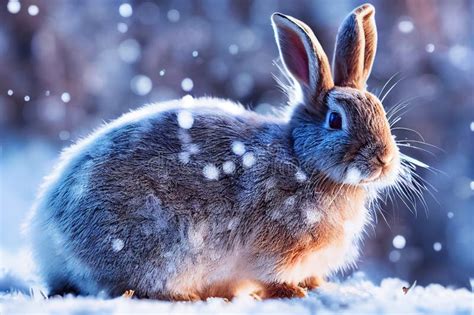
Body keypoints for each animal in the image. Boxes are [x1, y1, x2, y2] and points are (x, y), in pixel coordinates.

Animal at [28, 3, 400, 302]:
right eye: (335, 120)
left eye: (381, 112)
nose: (383, 159)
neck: (303, 160)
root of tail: (48, 238)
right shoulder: (274, 247)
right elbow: (272, 276)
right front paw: (293, 292)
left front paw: (317, 286)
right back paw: (185, 297)